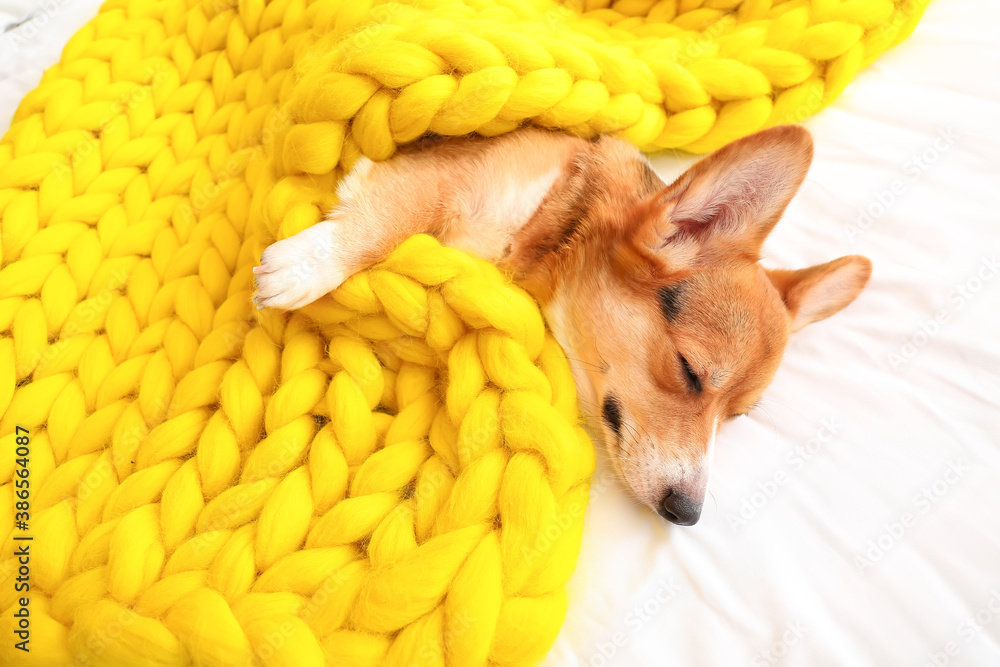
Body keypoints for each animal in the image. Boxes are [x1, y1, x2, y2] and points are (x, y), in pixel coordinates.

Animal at [254, 126, 872, 528]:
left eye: (736, 418)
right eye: (689, 371)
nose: (687, 514)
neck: (549, 220)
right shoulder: (437, 174)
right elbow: (382, 220)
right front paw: (308, 263)